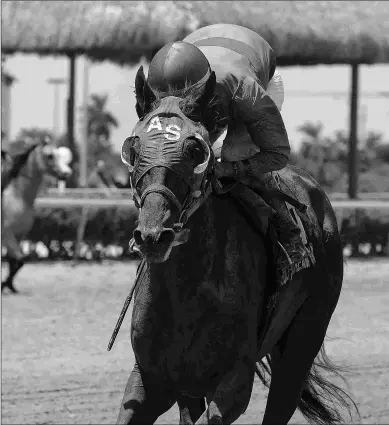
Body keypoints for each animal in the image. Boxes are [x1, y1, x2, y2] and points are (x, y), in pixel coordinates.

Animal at [113, 68, 356, 422]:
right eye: (134, 149)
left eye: (195, 151)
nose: (153, 235)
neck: (187, 290)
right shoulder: (151, 379)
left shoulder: (235, 381)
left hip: (304, 335)